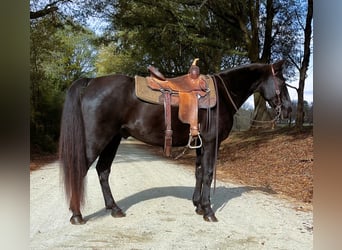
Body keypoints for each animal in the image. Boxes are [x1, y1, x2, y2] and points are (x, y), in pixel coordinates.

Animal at [58, 60, 292, 225]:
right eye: (282, 82)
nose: (288, 111)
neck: (223, 94)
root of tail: (91, 82)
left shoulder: (200, 144)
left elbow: (199, 172)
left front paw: (198, 205)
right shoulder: (211, 143)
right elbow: (208, 174)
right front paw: (208, 211)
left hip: (112, 140)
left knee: (103, 171)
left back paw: (114, 209)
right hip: (97, 140)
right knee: (81, 170)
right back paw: (77, 215)